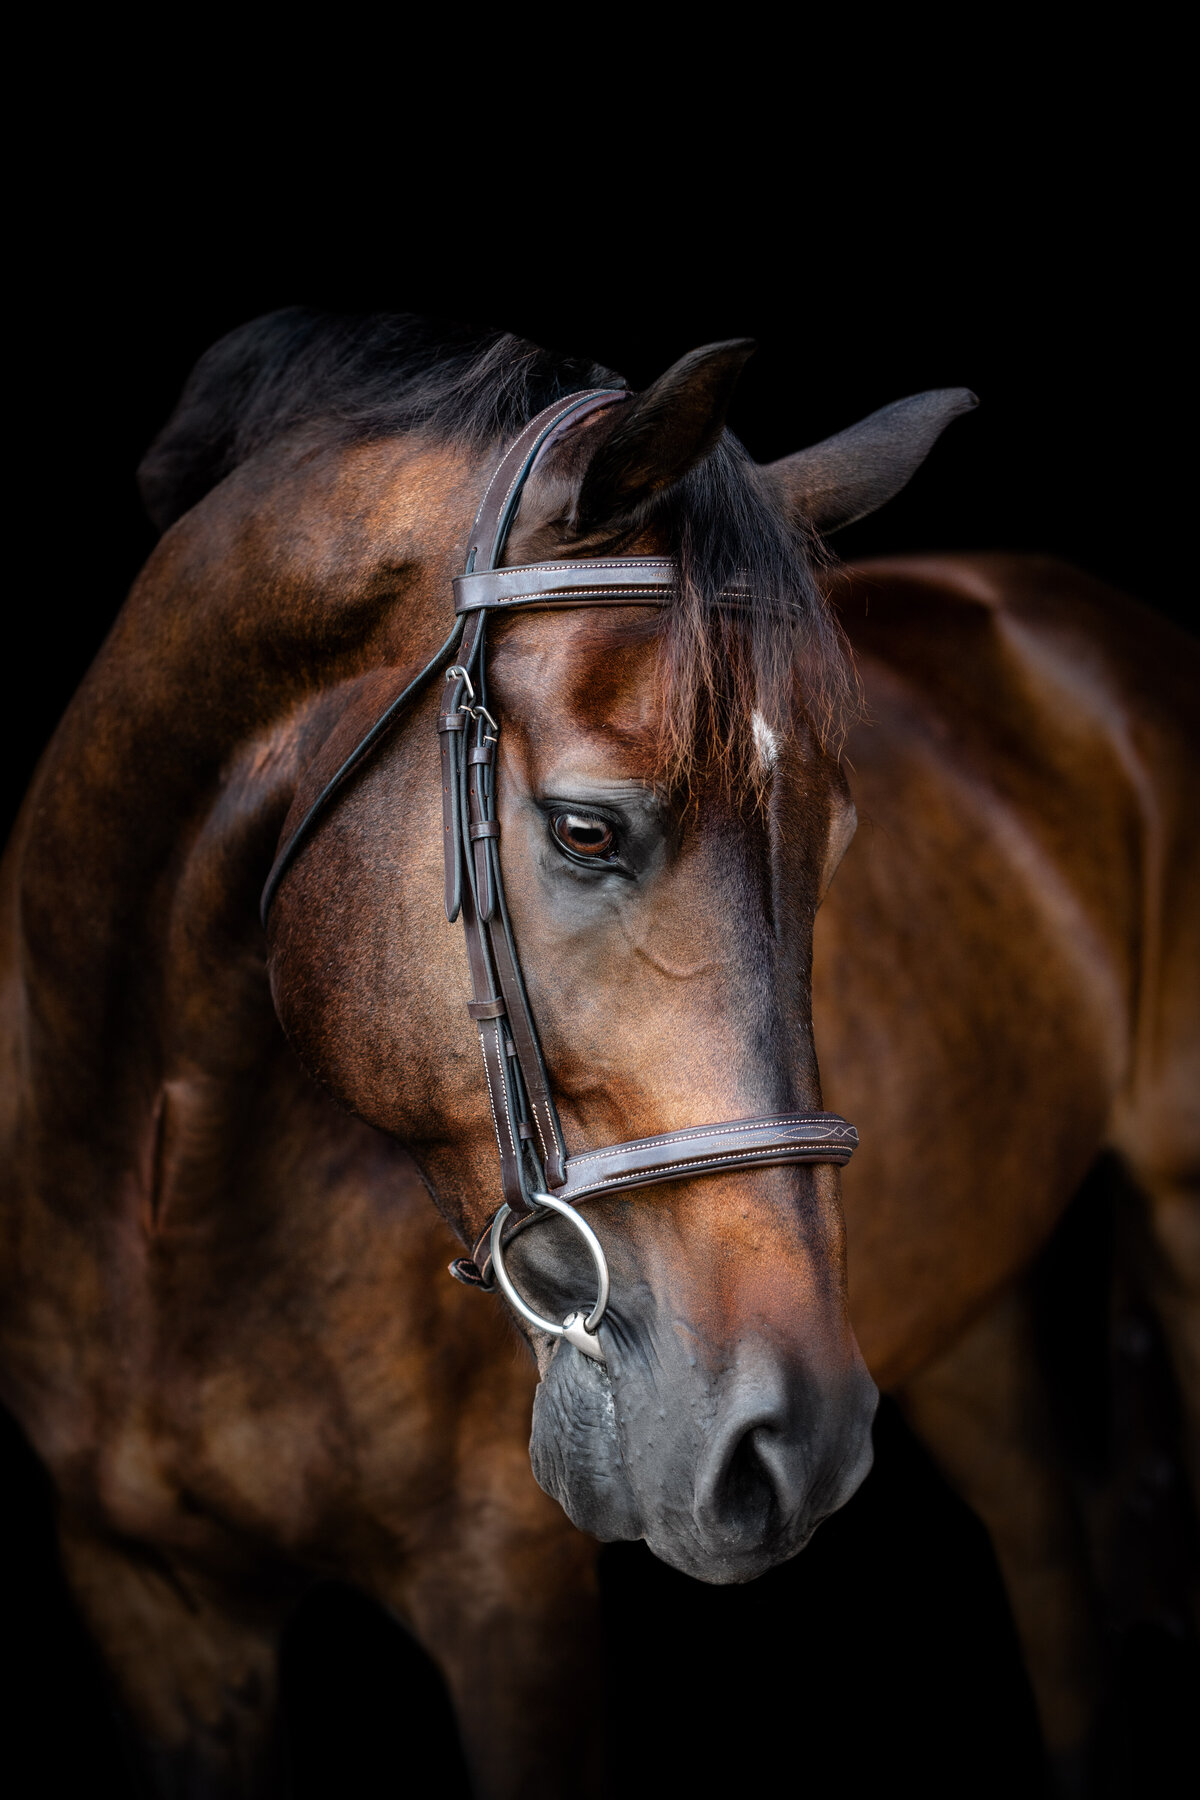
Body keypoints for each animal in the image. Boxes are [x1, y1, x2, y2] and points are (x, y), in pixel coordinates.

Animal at [0, 313, 1194, 1800]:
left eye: (837, 838)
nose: (789, 1440)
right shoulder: (152, 1609)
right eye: (584, 829)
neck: (164, 1205)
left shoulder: (511, 1601)